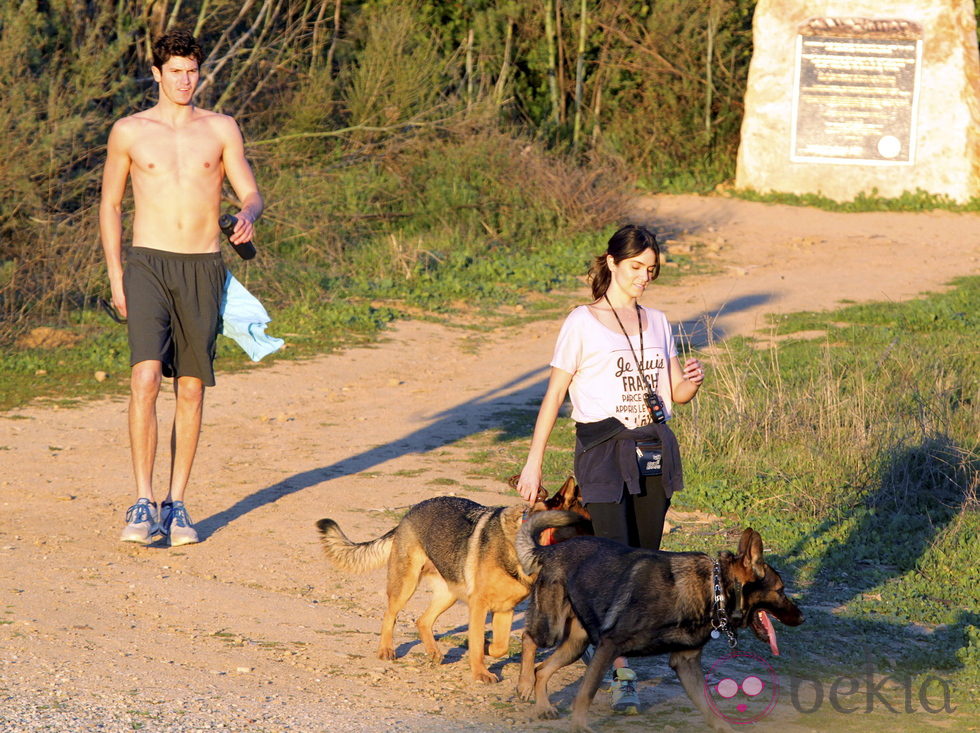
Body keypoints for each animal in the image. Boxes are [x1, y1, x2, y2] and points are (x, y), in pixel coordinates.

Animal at [316, 478, 588, 684]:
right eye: (585, 530)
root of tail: (408, 513)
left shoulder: (505, 610)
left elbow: (499, 646)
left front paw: (486, 648)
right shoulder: (479, 606)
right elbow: (477, 642)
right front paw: (480, 672)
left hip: (449, 594)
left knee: (422, 621)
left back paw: (434, 652)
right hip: (406, 585)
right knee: (390, 615)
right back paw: (386, 649)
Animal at [512, 508, 804, 732]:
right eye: (781, 590)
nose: (802, 617)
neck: (714, 590)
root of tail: (550, 551)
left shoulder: (686, 662)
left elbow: (710, 706)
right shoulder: (608, 647)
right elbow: (586, 693)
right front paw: (580, 726)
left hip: (576, 644)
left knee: (543, 669)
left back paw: (543, 705)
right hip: (552, 629)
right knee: (529, 640)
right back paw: (524, 685)